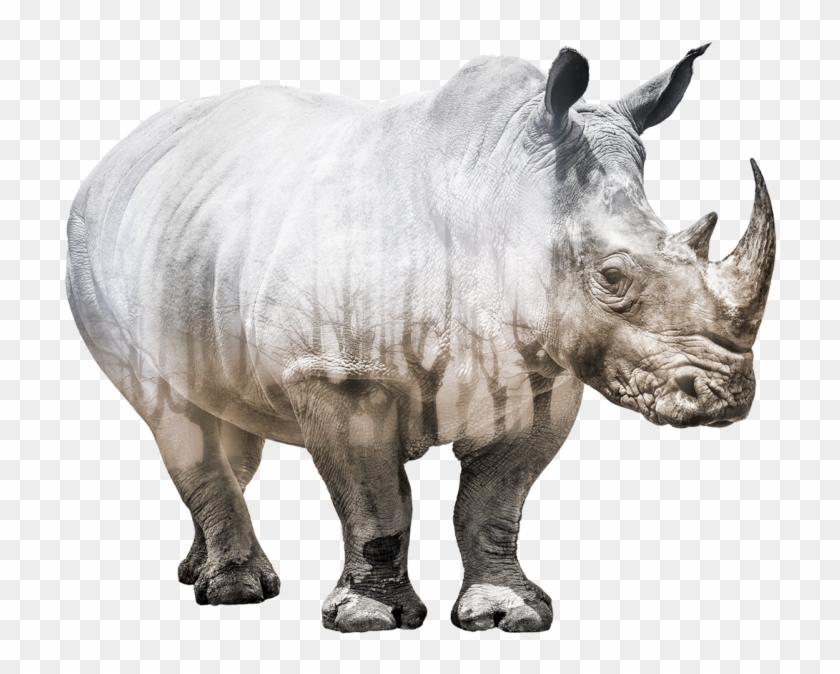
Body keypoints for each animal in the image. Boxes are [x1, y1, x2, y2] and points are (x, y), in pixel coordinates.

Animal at [66, 43, 776, 632]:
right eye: (612, 277)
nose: (726, 397)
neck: (496, 188)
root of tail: (119, 152)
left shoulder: (545, 375)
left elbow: (494, 502)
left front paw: (509, 615)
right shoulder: (339, 372)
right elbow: (377, 502)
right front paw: (370, 621)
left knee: (225, 419)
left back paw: (198, 572)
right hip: (88, 243)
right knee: (173, 414)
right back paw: (237, 592)